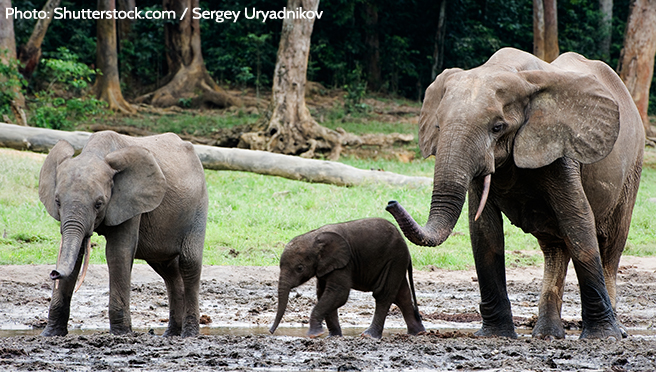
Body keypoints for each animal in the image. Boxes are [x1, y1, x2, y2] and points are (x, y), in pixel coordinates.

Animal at [39, 131, 208, 338]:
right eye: (57, 201)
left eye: (99, 204)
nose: (54, 273)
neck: (96, 153)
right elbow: (74, 255)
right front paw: (50, 334)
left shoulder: (131, 202)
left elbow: (117, 253)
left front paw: (121, 333)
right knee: (168, 270)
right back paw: (171, 334)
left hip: (198, 205)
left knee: (188, 263)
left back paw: (189, 334)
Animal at [268, 218, 426, 340]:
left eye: (299, 268)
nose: (270, 331)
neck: (314, 236)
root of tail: (406, 246)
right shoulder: (326, 266)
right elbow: (323, 293)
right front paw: (333, 337)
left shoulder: (344, 263)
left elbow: (338, 293)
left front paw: (314, 335)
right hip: (396, 262)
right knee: (402, 295)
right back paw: (418, 333)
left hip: (394, 259)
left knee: (383, 294)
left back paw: (369, 336)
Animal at [386, 48, 644, 342]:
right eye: (438, 126)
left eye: (497, 127)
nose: (391, 202)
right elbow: (484, 231)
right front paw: (494, 335)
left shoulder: (559, 149)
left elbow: (578, 221)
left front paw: (602, 338)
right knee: (555, 248)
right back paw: (546, 335)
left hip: (633, 167)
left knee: (611, 246)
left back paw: (614, 332)